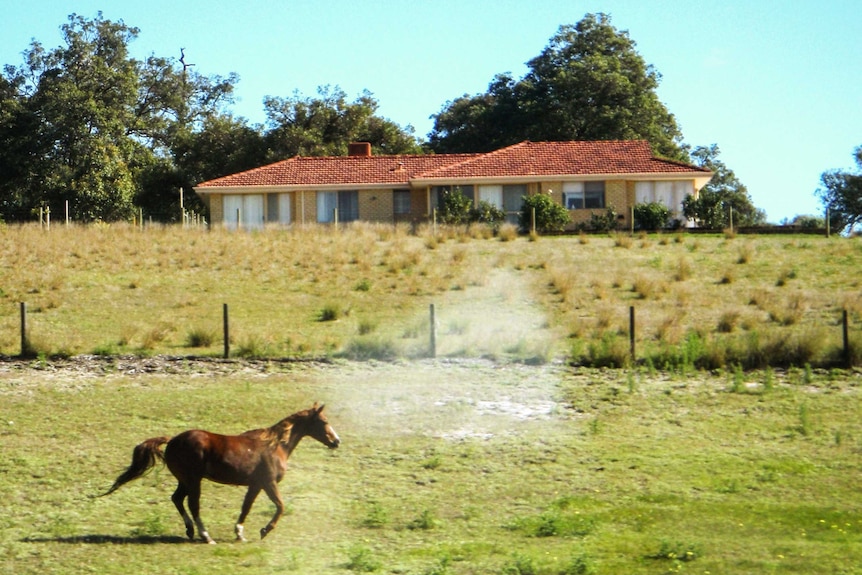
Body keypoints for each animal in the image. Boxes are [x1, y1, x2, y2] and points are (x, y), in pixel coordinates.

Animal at [100, 400, 340, 544]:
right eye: (324, 421)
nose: (336, 441)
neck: (275, 445)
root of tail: (173, 440)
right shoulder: (268, 482)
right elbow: (280, 506)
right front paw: (264, 531)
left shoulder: (255, 485)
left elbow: (246, 507)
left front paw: (240, 533)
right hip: (194, 480)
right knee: (192, 504)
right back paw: (205, 536)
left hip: (185, 480)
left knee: (177, 499)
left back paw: (190, 531)